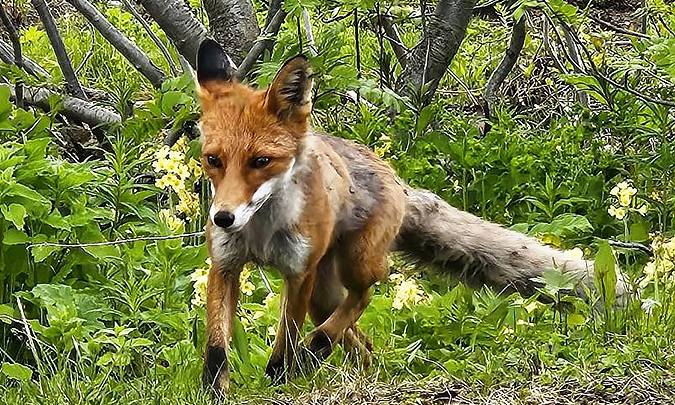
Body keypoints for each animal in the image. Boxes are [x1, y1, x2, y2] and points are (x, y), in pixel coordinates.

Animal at [195, 38, 625, 394]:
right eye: (213, 160)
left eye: (261, 162)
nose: (223, 218)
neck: (261, 232)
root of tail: (397, 179)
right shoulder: (225, 265)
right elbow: (216, 347)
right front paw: (215, 391)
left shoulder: (298, 274)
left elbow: (284, 339)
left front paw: (278, 379)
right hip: (324, 292)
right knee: (357, 337)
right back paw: (335, 360)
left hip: (352, 266)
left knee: (366, 295)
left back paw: (315, 350)